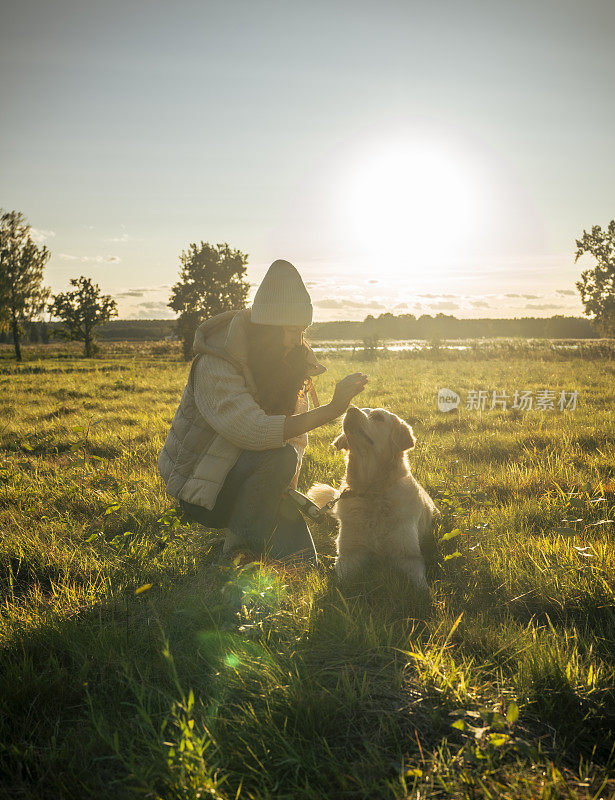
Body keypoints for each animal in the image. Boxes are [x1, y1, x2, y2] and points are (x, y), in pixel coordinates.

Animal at [308, 406, 438, 588]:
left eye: (378, 417)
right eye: (363, 409)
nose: (350, 409)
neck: (372, 492)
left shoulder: (408, 556)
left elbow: (420, 587)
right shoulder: (349, 554)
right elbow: (341, 584)